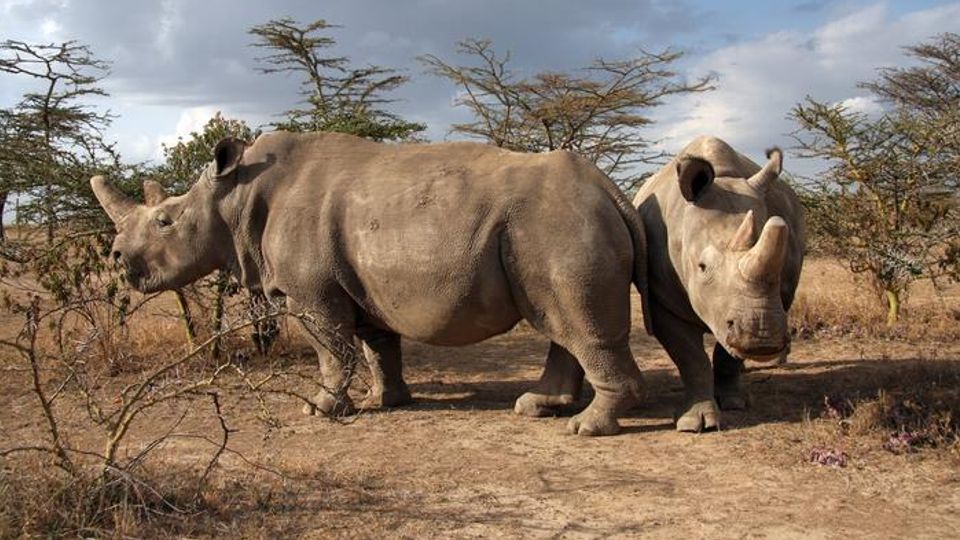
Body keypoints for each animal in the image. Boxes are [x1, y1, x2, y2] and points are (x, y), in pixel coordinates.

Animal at [92, 133, 652, 436]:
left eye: (165, 221)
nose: (117, 257)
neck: (234, 197)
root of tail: (610, 188)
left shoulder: (309, 293)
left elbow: (331, 348)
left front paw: (319, 409)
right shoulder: (362, 285)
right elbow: (376, 344)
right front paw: (387, 400)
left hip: (557, 224)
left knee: (575, 321)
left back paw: (585, 428)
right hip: (551, 224)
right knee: (559, 320)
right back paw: (538, 408)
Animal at [636, 137, 804, 432]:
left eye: (782, 263)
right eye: (702, 267)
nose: (762, 338)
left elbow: (728, 356)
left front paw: (734, 403)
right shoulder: (662, 300)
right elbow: (691, 358)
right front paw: (696, 423)